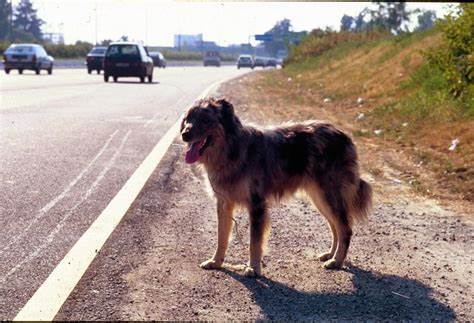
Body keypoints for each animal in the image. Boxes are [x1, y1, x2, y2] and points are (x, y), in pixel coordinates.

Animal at [181, 97, 370, 278]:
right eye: (188, 118)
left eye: (205, 119)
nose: (184, 134)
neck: (232, 150)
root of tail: (344, 135)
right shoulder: (224, 203)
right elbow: (222, 237)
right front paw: (216, 262)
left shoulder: (256, 205)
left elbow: (254, 242)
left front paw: (253, 268)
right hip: (320, 198)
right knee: (335, 227)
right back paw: (330, 255)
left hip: (329, 196)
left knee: (345, 229)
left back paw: (336, 261)